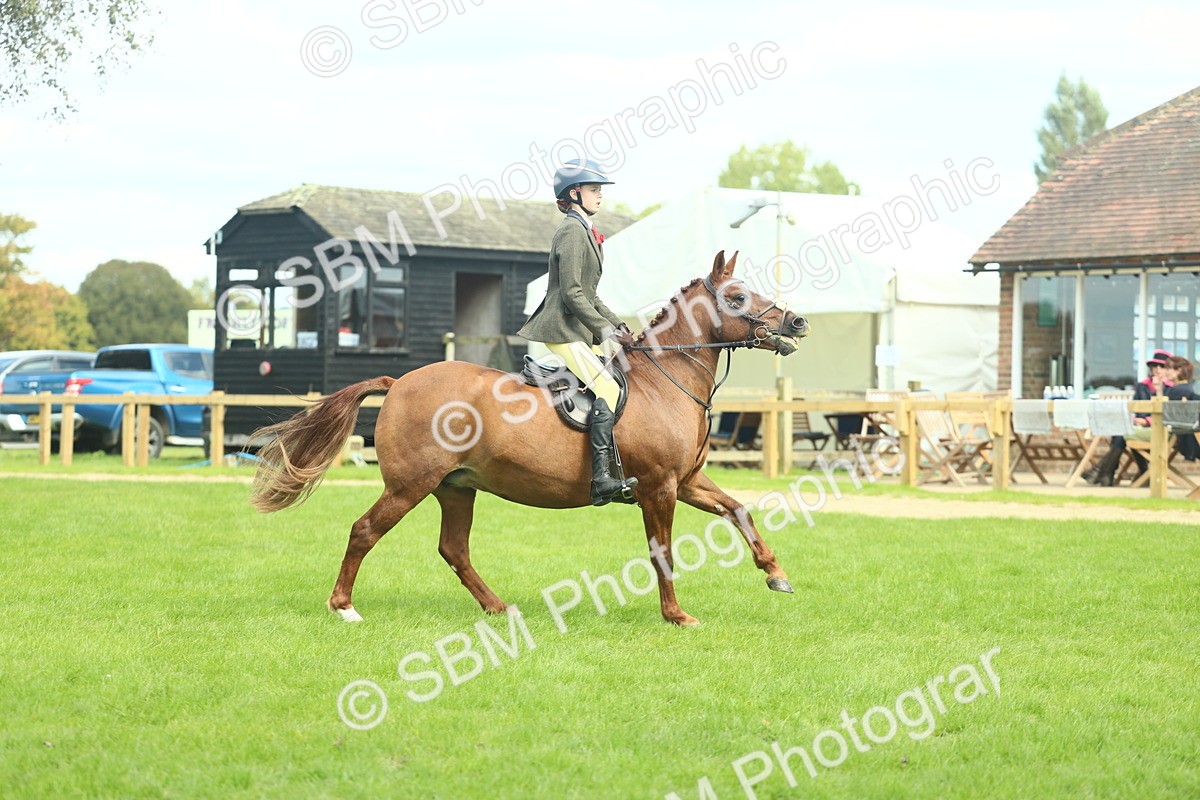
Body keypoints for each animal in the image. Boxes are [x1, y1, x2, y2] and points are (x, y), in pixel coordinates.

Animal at [249, 251, 810, 626]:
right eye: (737, 297)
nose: (797, 322)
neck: (664, 380)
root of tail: (400, 381)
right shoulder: (660, 487)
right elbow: (662, 552)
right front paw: (677, 616)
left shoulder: (687, 481)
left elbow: (739, 510)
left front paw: (775, 574)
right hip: (410, 485)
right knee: (365, 531)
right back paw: (344, 607)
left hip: (456, 487)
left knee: (454, 549)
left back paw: (498, 607)